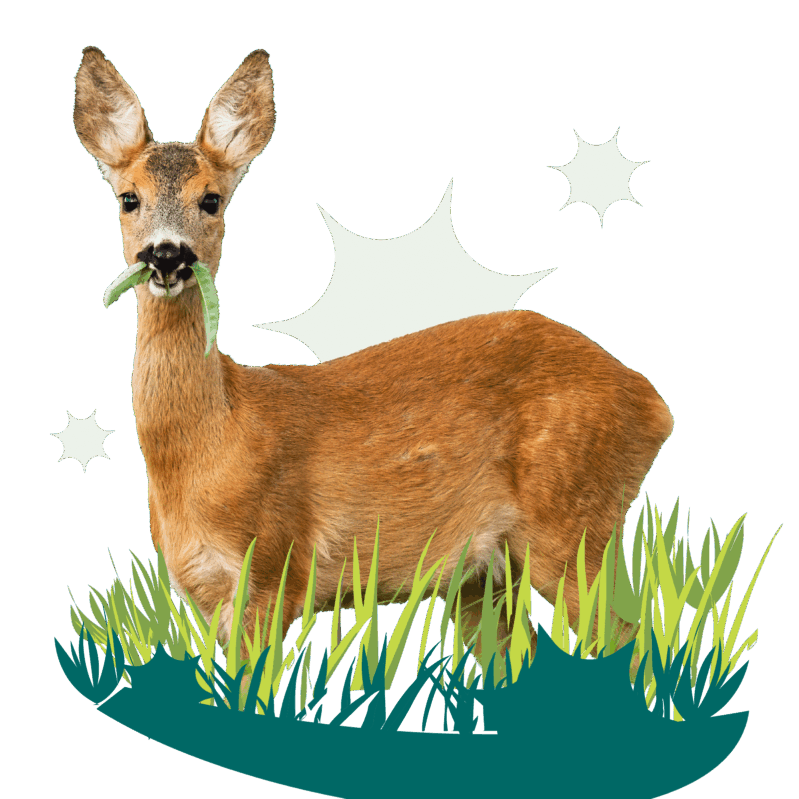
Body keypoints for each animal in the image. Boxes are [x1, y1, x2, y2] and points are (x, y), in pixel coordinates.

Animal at [73, 45, 673, 683]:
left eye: (210, 199)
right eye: (128, 198)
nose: (166, 255)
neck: (210, 446)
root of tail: (655, 403)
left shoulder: (275, 568)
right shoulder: (205, 593)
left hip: (572, 522)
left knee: (636, 637)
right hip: (485, 574)